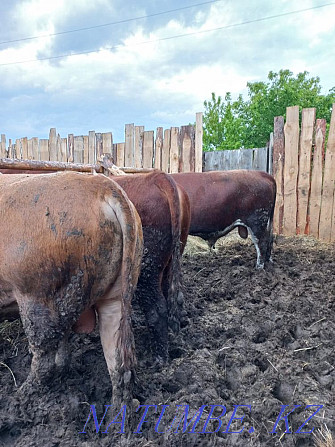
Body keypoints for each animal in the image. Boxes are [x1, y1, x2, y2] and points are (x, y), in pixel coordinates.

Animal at [0, 172, 143, 406]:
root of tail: (103, 185)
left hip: (35, 293)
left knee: (44, 349)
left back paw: (22, 395)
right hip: (116, 294)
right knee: (117, 359)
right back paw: (119, 412)